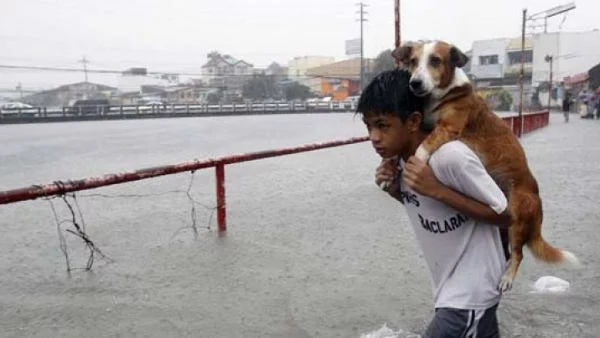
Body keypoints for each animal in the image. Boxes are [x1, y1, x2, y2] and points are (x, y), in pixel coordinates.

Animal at [392, 40, 580, 294]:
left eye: (435, 61)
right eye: (413, 62)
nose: (415, 83)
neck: (442, 94)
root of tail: (538, 208)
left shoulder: (448, 127)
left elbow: (423, 146)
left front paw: (416, 162)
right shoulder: (427, 123)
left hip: (517, 216)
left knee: (519, 254)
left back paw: (507, 278)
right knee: (509, 251)